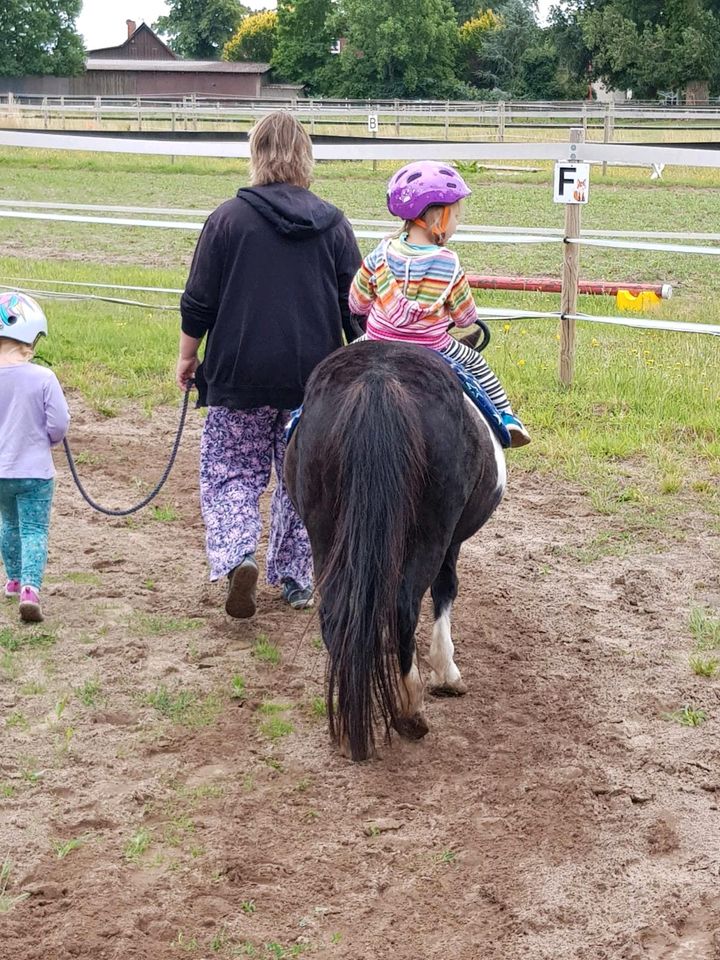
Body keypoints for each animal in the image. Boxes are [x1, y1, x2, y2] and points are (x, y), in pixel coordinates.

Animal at [282, 342, 506, 760]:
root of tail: (378, 381)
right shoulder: (451, 542)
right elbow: (446, 590)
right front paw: (446, 672)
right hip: (430, 534)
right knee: (404, 606)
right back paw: (409, 709)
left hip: (325, 534)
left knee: (336, 613)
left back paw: (348, 723)